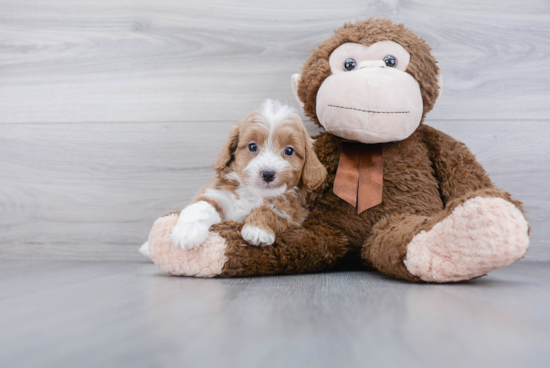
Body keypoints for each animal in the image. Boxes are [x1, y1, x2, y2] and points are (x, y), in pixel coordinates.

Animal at [171, 99, 328, 249]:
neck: (254, 194)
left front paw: (257, 230)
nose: (268, 174)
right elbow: (202, 205)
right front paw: (187, 231)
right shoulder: (218, 194)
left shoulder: (293, 213)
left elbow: (269, 211)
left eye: (289, 151)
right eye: (252, 146)